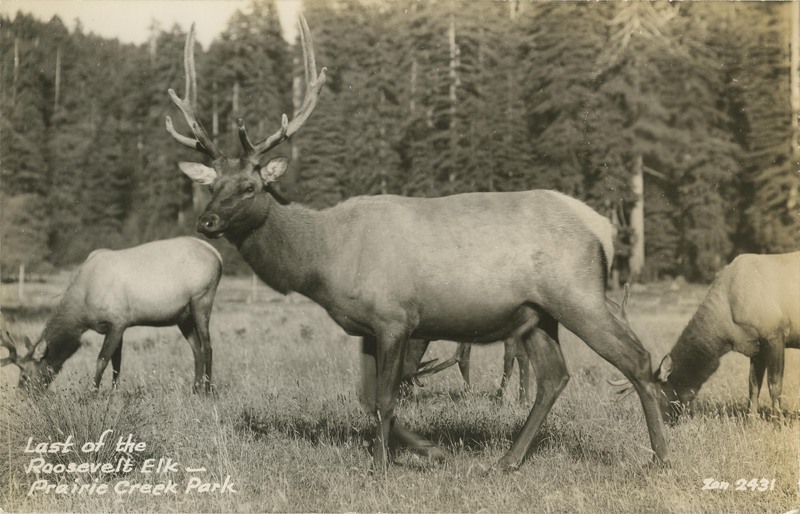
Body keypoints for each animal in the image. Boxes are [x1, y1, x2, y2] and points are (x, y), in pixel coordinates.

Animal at [0, 237, 222, 393]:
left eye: (25, 375)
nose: (21, 395)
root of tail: (217, 255)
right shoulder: (116, 326)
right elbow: (117, 363)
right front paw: (113, 394)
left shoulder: (118, 321)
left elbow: (102, 360)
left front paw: (91, 394)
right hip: (183, 316)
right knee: (197, 350)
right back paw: (194, 389)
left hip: (202, 298)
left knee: (208, 347)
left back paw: (206, 390)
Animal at [166, 15, 669, 471]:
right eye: (213, 185)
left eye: (249, 187)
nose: (207, 221)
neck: (324, 260)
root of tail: (601, 227)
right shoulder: (367, 326)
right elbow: (365, 397)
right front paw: (428, 450)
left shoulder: (395, 317)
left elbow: (385, 398)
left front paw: (383, 466)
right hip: (536, 313)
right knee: (554, 377)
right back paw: (507, 461)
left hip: (578, 294)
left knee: (636, 358)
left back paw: (659, 458)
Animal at [610, 252, 800, 420]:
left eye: (657, 396)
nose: (660, 421)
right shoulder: (755, 345)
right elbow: (753, 385)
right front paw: (750, 421)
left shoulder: (775, 334)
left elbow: (775, 384)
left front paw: (778, 422)